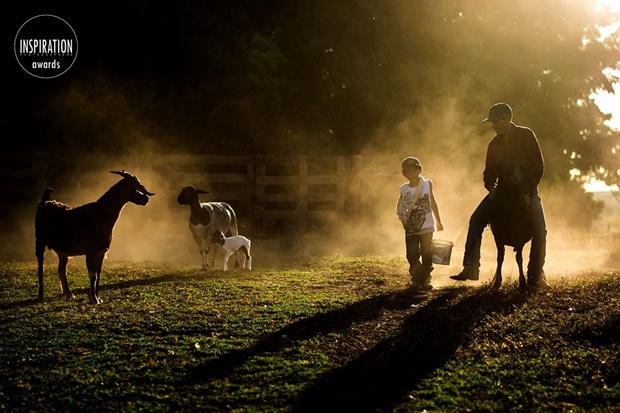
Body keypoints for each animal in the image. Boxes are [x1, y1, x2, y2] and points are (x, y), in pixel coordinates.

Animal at [35, 170, 155, 302]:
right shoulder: (90, 251)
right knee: (40, 267)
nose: (146, 198)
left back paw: (69, 293)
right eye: (132, 187)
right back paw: (41, 295)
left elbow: (98, 274)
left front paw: (98, 298)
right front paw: (93, 298)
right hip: (40, 241)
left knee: (61, 269)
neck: (101, 215)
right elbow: (92, 274)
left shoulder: (101, 252)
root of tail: (44, 202)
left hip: (63, 251)